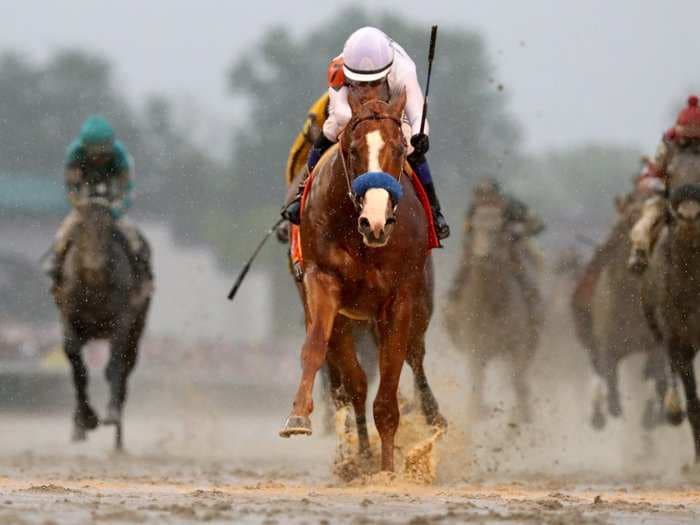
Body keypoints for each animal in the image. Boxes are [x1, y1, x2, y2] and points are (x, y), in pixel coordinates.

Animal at [53, 184, 153, 446]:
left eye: (110, 230)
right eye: (79, 227)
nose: (94, 268)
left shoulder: (122, 319)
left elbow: (115, 363)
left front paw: (110, 414)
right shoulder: (69, 315)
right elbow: (76, 363)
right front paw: (85, 419)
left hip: (137, 326)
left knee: (125, 366)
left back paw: (118, 438)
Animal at [278, 90, 446, 470]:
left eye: (400, 148)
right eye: (353, 150)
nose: (376, 221)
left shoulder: (400, 297)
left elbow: (389, 383)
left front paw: (388, 469)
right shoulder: (324, 286)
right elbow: (323, 355)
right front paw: (299, 416)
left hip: (420, 304)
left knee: (415, 358)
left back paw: (434, 419)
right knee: (352, 382)